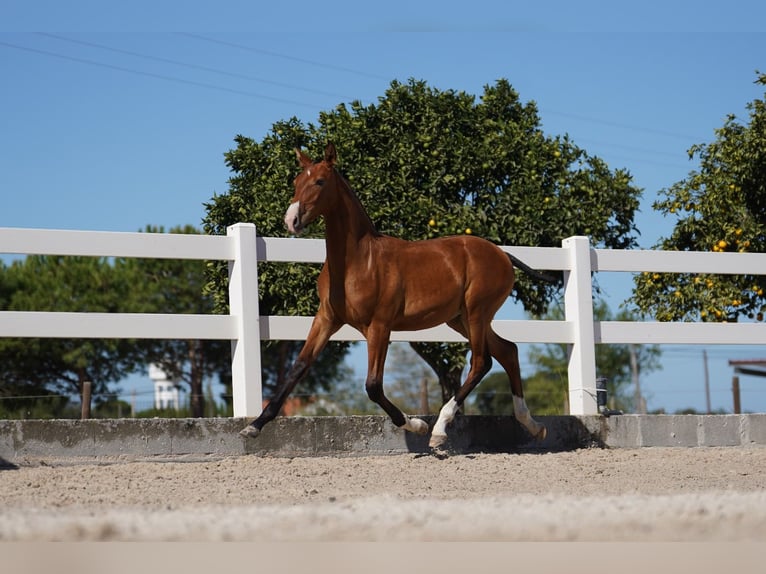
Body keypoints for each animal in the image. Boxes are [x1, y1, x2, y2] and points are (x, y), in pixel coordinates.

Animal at [243, 143, 548, 450]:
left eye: (319, 181)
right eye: (296, 181)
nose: (291, 220)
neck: (358, 260)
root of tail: (503, 254)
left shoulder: (379, 326)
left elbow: (373, 386)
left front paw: (417, 425)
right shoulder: (327, 318)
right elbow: (298, 367)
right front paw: (254, 427)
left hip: (477, 313)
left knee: (481, 362)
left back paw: (439, 430)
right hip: (460, 319)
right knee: (507, 350)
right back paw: (533, 426)